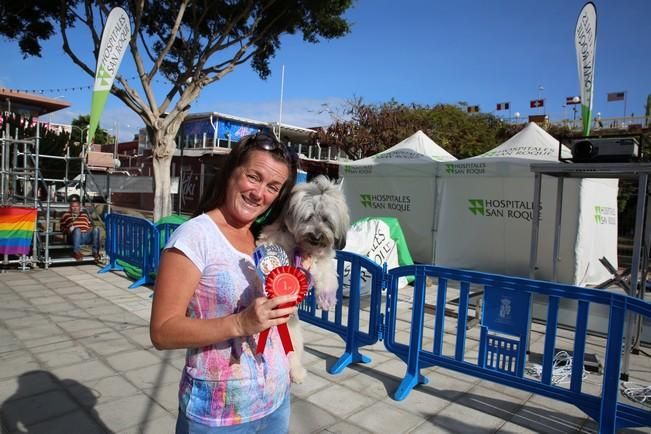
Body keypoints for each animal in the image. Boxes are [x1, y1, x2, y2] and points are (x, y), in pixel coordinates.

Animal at [260, 175, 352, 382]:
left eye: (326, 219)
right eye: (308, 217)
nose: (316, 236)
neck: (304, 247)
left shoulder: (324, 259)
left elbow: (327, 274)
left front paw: (326, 299)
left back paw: (296, 372)